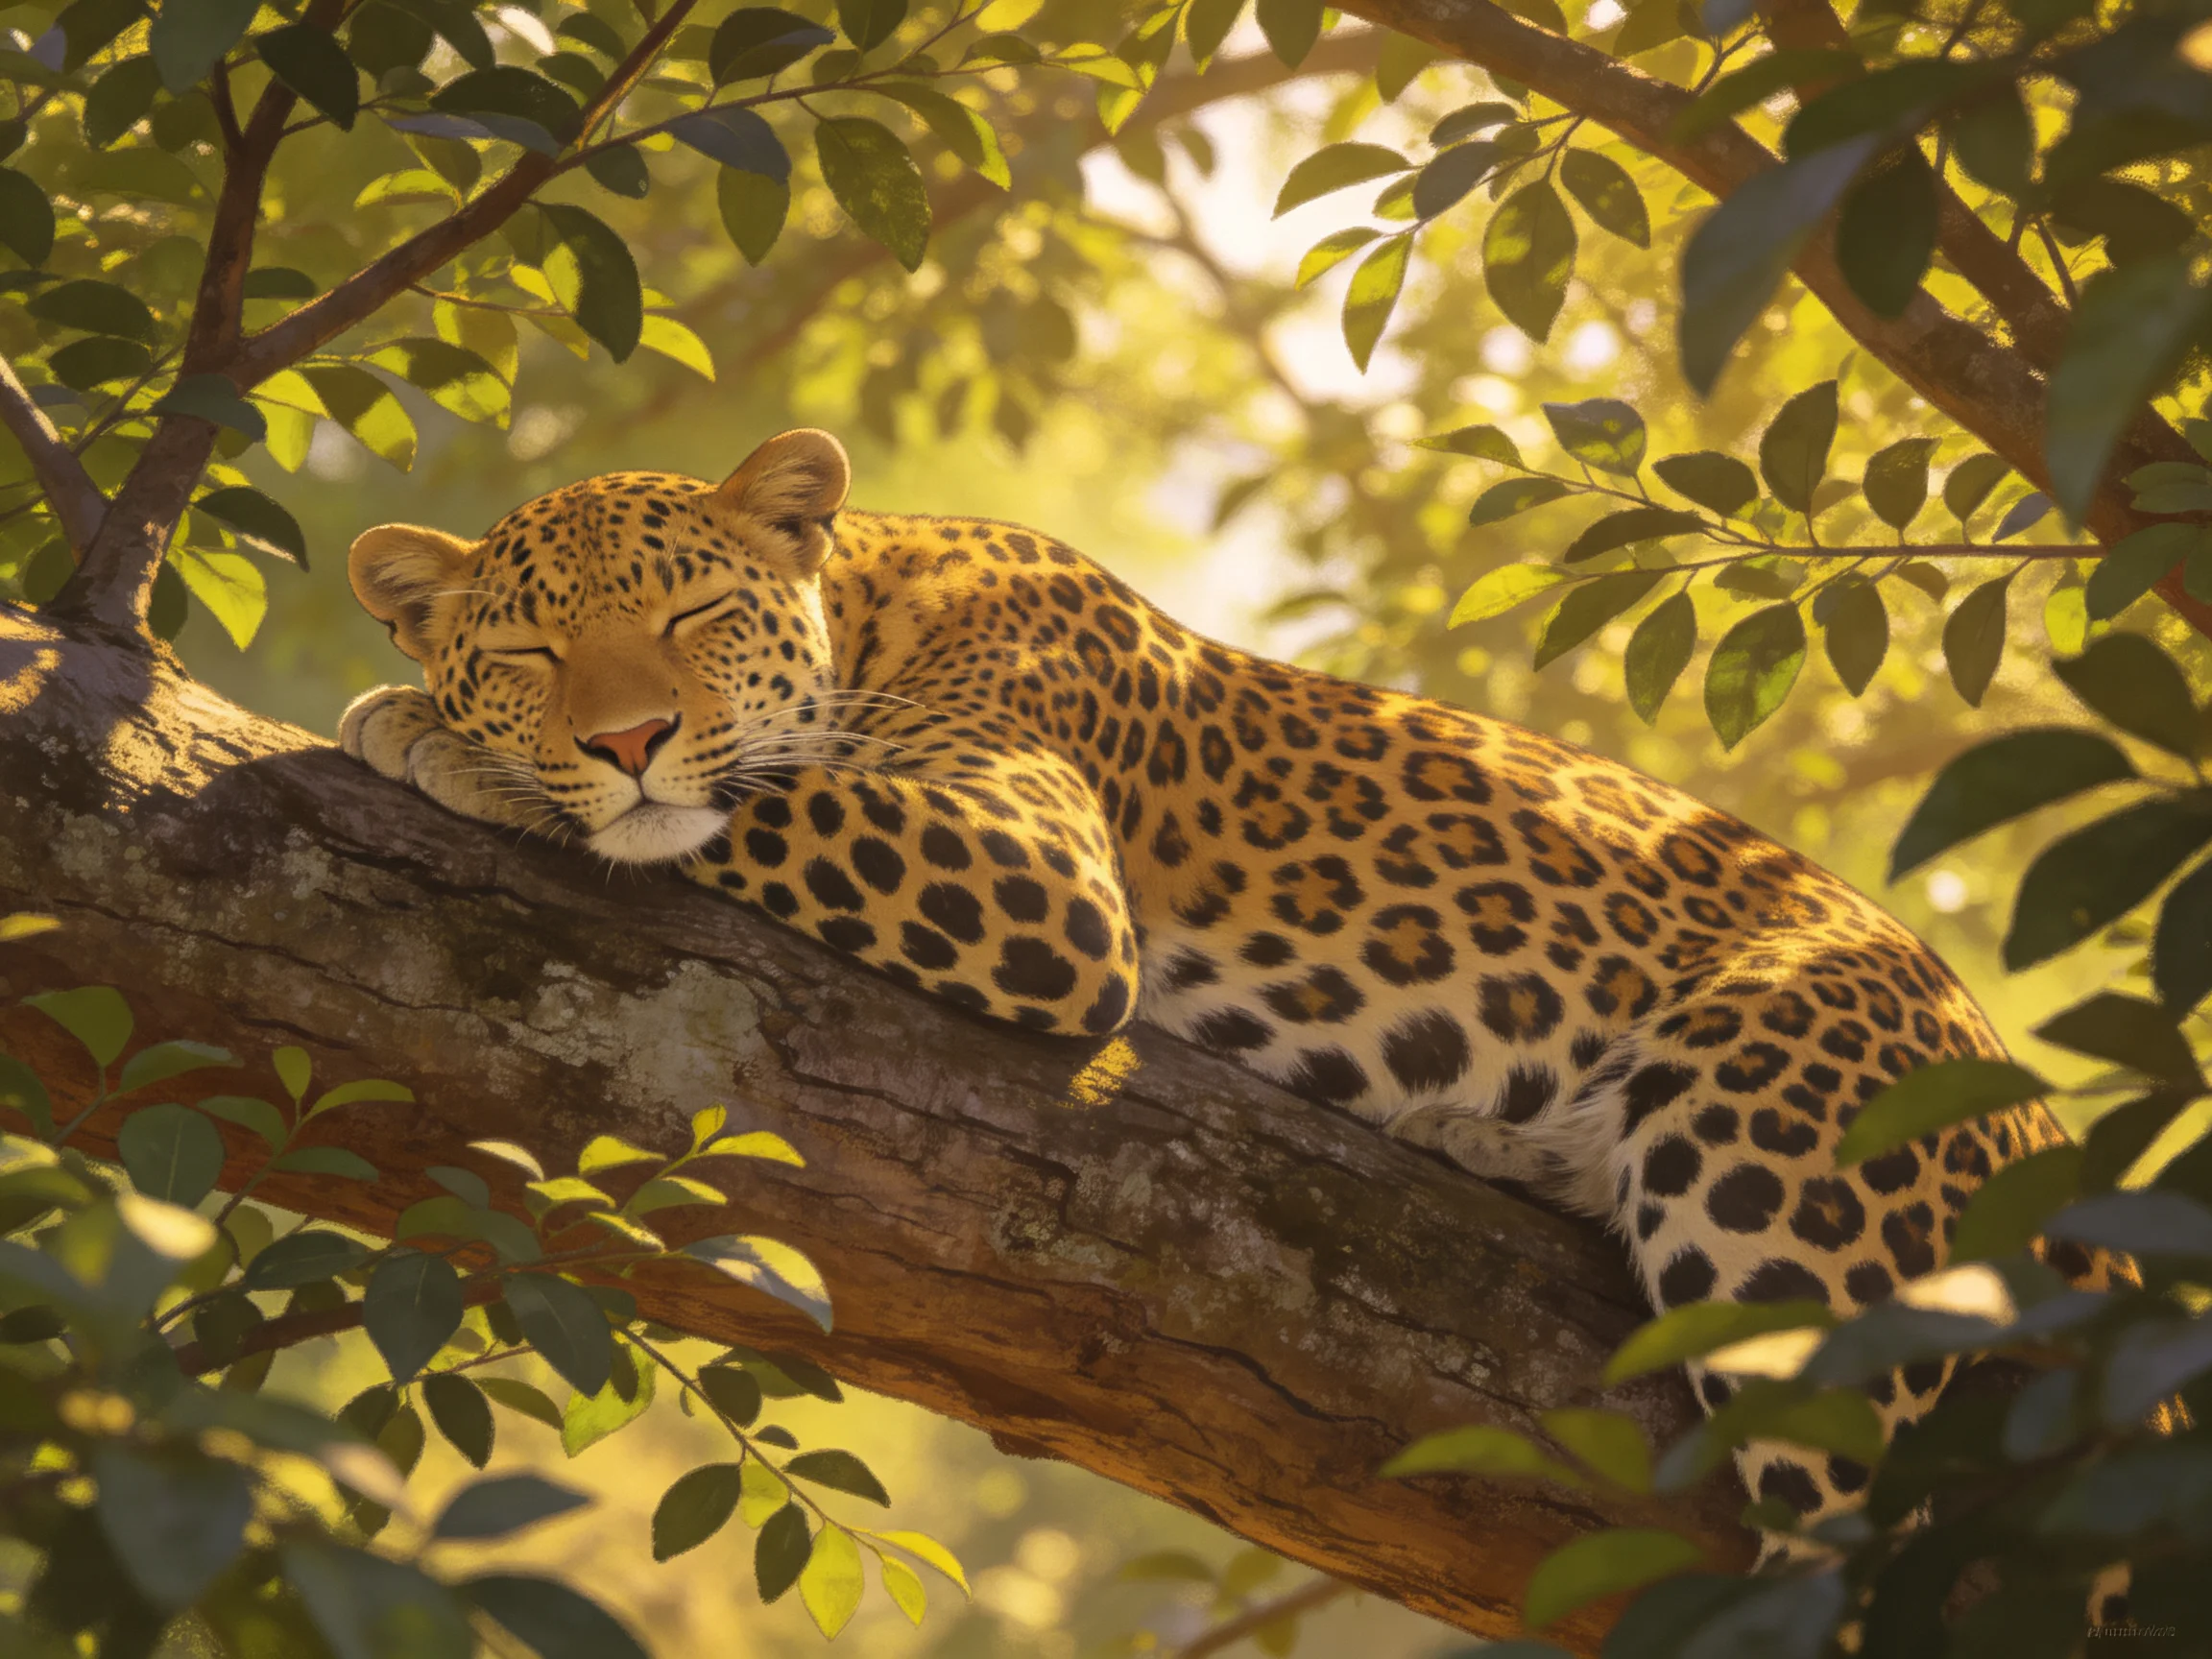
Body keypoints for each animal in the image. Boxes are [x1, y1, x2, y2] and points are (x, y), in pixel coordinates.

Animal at [341, 426, 2098, 1562]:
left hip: (1784, 1182)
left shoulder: (1035, 876)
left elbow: (758, 803)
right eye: (523, 650)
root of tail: (2033, 1120)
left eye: (695, 617)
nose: (623, 735)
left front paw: (438, 744)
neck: (875, 595)